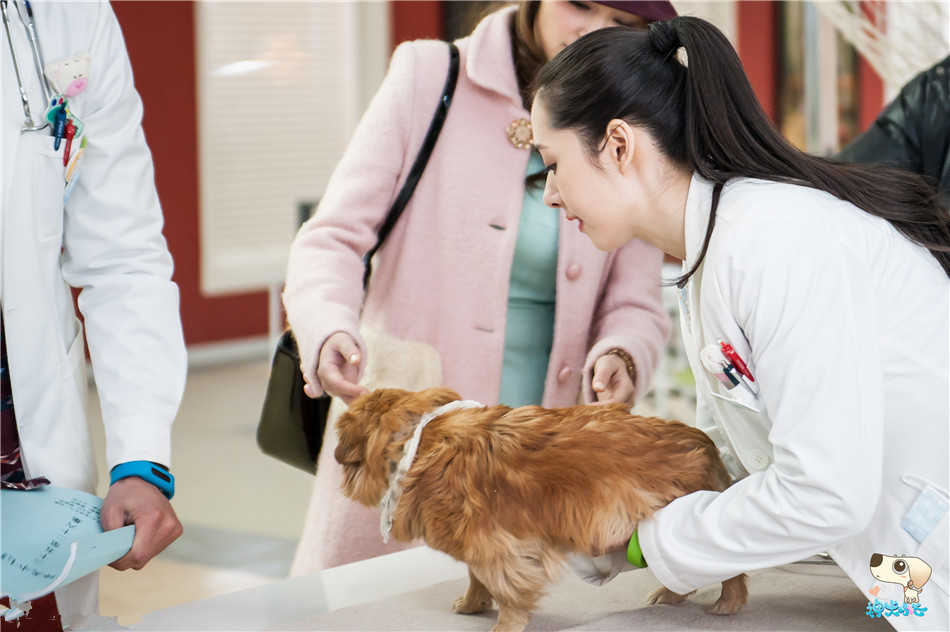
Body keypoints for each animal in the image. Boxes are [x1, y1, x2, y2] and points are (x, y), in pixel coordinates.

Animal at [336, 388, 752, 628]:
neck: (416, 442)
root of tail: (700, 441)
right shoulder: (483, 547)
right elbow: (476, 579)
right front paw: (472, 605)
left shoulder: (496, 548)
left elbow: (506, 594)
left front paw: (501, 624)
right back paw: (672, 595)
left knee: (725, 569)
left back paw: (727, 604)